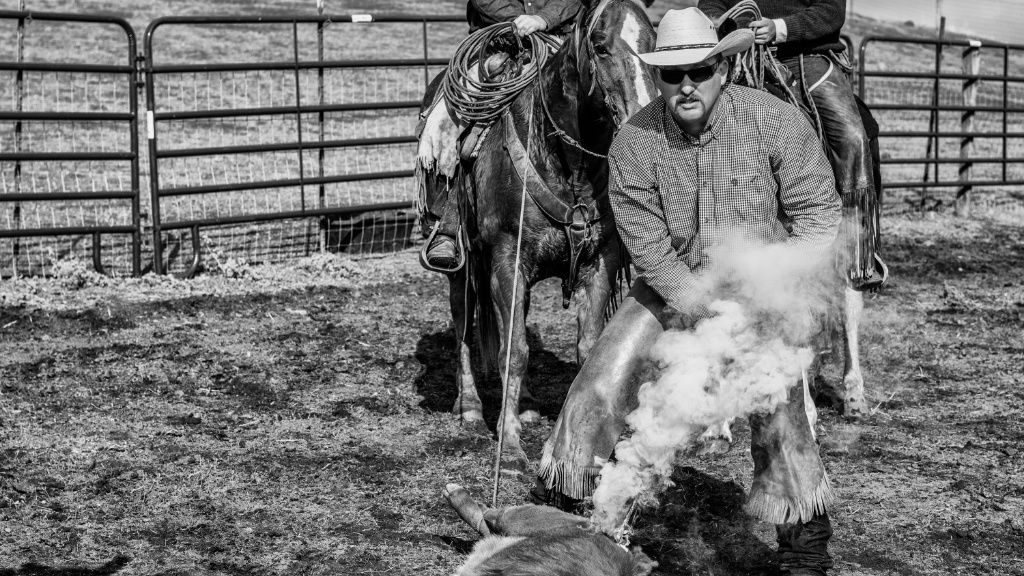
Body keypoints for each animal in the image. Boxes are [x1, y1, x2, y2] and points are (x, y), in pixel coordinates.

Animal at [419, 0, 659, 471]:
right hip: (461, 265)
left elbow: (584, 348)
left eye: (652, 41)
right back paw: (470, 406)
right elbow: (513, 352)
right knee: (462, 326)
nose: (644, 111)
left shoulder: (598, 263)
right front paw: (509, 445)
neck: (565, 162)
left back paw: (527, 404)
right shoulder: (506, 262)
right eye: (600, 45)